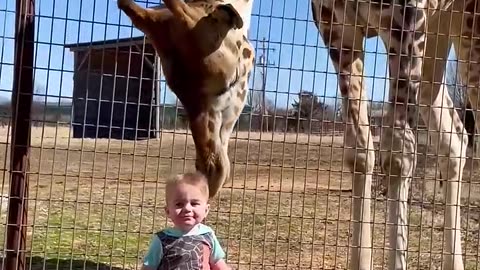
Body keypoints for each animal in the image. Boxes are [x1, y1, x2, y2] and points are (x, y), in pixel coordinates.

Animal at [308, 0, 480, 268]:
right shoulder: (335, 25)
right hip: (437, 34)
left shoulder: (405, 17)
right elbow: (359, 152)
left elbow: (399, 155)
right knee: (455, 140)